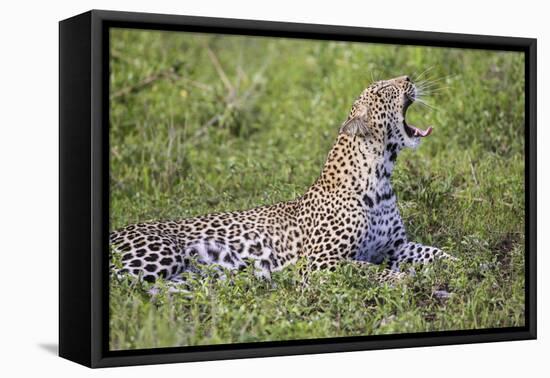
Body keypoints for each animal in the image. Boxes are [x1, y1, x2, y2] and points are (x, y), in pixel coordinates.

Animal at [109, 75, 458, 284]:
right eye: (385, 89)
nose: (408, 78)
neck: (381, 177)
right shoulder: (320, 262)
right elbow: (366, 268)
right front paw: (402, 280)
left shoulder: (396, 246)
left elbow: (435, 252)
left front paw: (463, 263)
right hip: (160, 255)